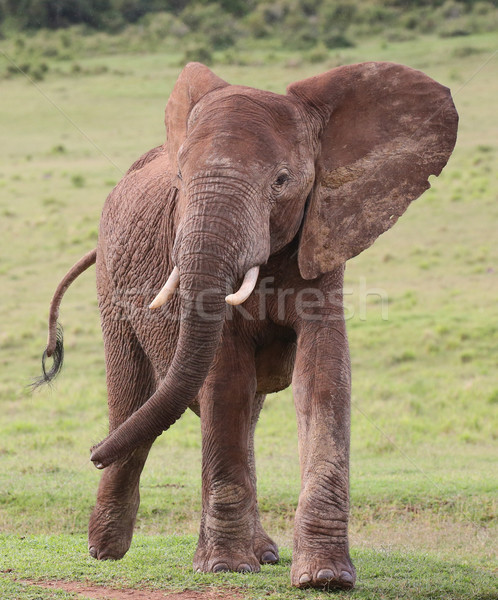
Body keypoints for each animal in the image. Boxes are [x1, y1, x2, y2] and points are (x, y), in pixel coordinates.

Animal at [37, 62, 460, 592]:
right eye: (181, 177)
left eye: (281, 180)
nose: (91, 452)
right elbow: (226, 379)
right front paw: (226, 568)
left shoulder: (324, 235)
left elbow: (323, 376)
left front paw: (324, 579)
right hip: (111, 282)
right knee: (132, 392)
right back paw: (105, 549)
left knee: (239, 409)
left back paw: (261, 554)